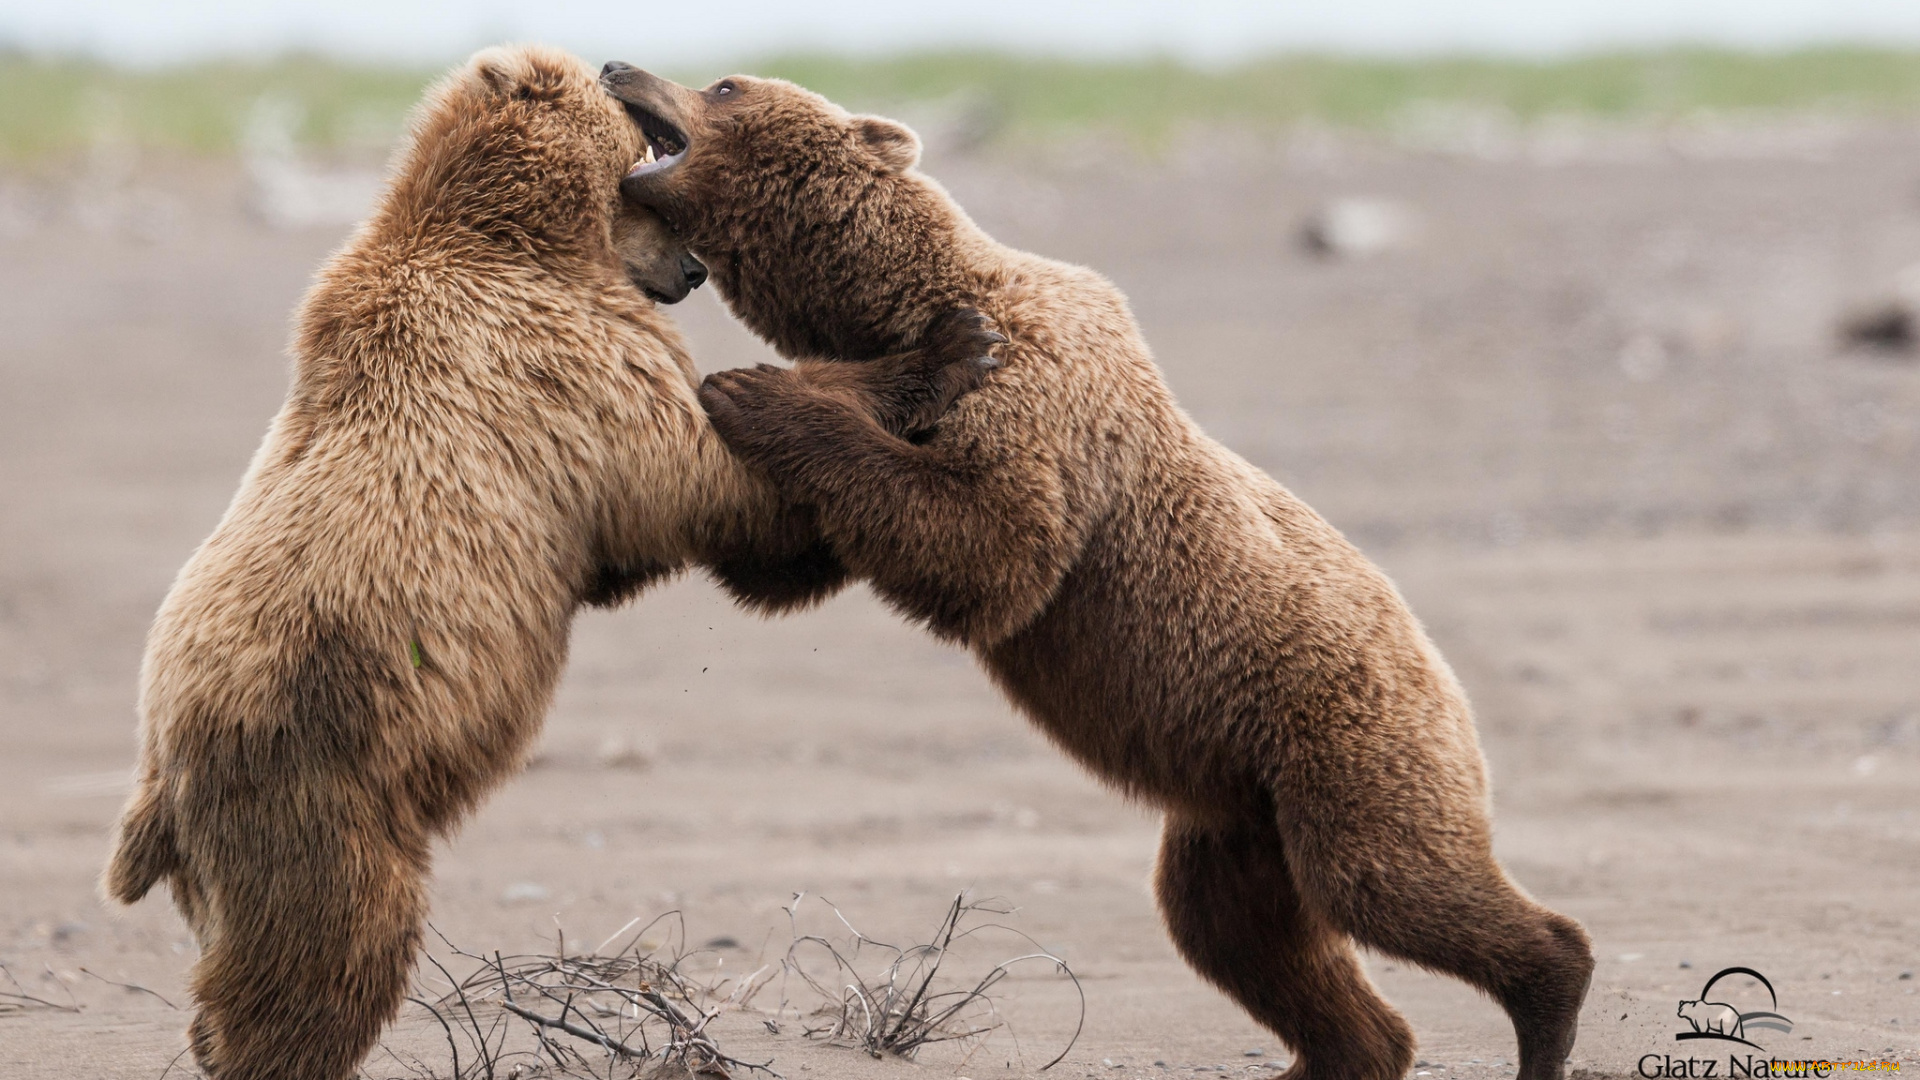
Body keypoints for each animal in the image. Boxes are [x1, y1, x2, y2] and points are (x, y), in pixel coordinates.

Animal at [107, 44, 998, 1076]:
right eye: (643, 174)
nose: (693, 271)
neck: (523, 236)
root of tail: (158, 785)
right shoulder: (559, 361)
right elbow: (706, 473)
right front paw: (948, 344)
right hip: (318, 783)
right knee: (333, 945)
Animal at [606, 65, 1597, 1076]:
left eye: (725, 85)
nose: (620, 67)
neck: (899, 301)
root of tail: (1443, 675)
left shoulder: (1039, 390)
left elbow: (991, 548)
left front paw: (753, 391)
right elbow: (807, 558)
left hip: (1353, 742)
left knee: (1387, 881)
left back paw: (1549, 1000)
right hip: (1244, 810)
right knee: (1234, 928)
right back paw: (1343, 1050)